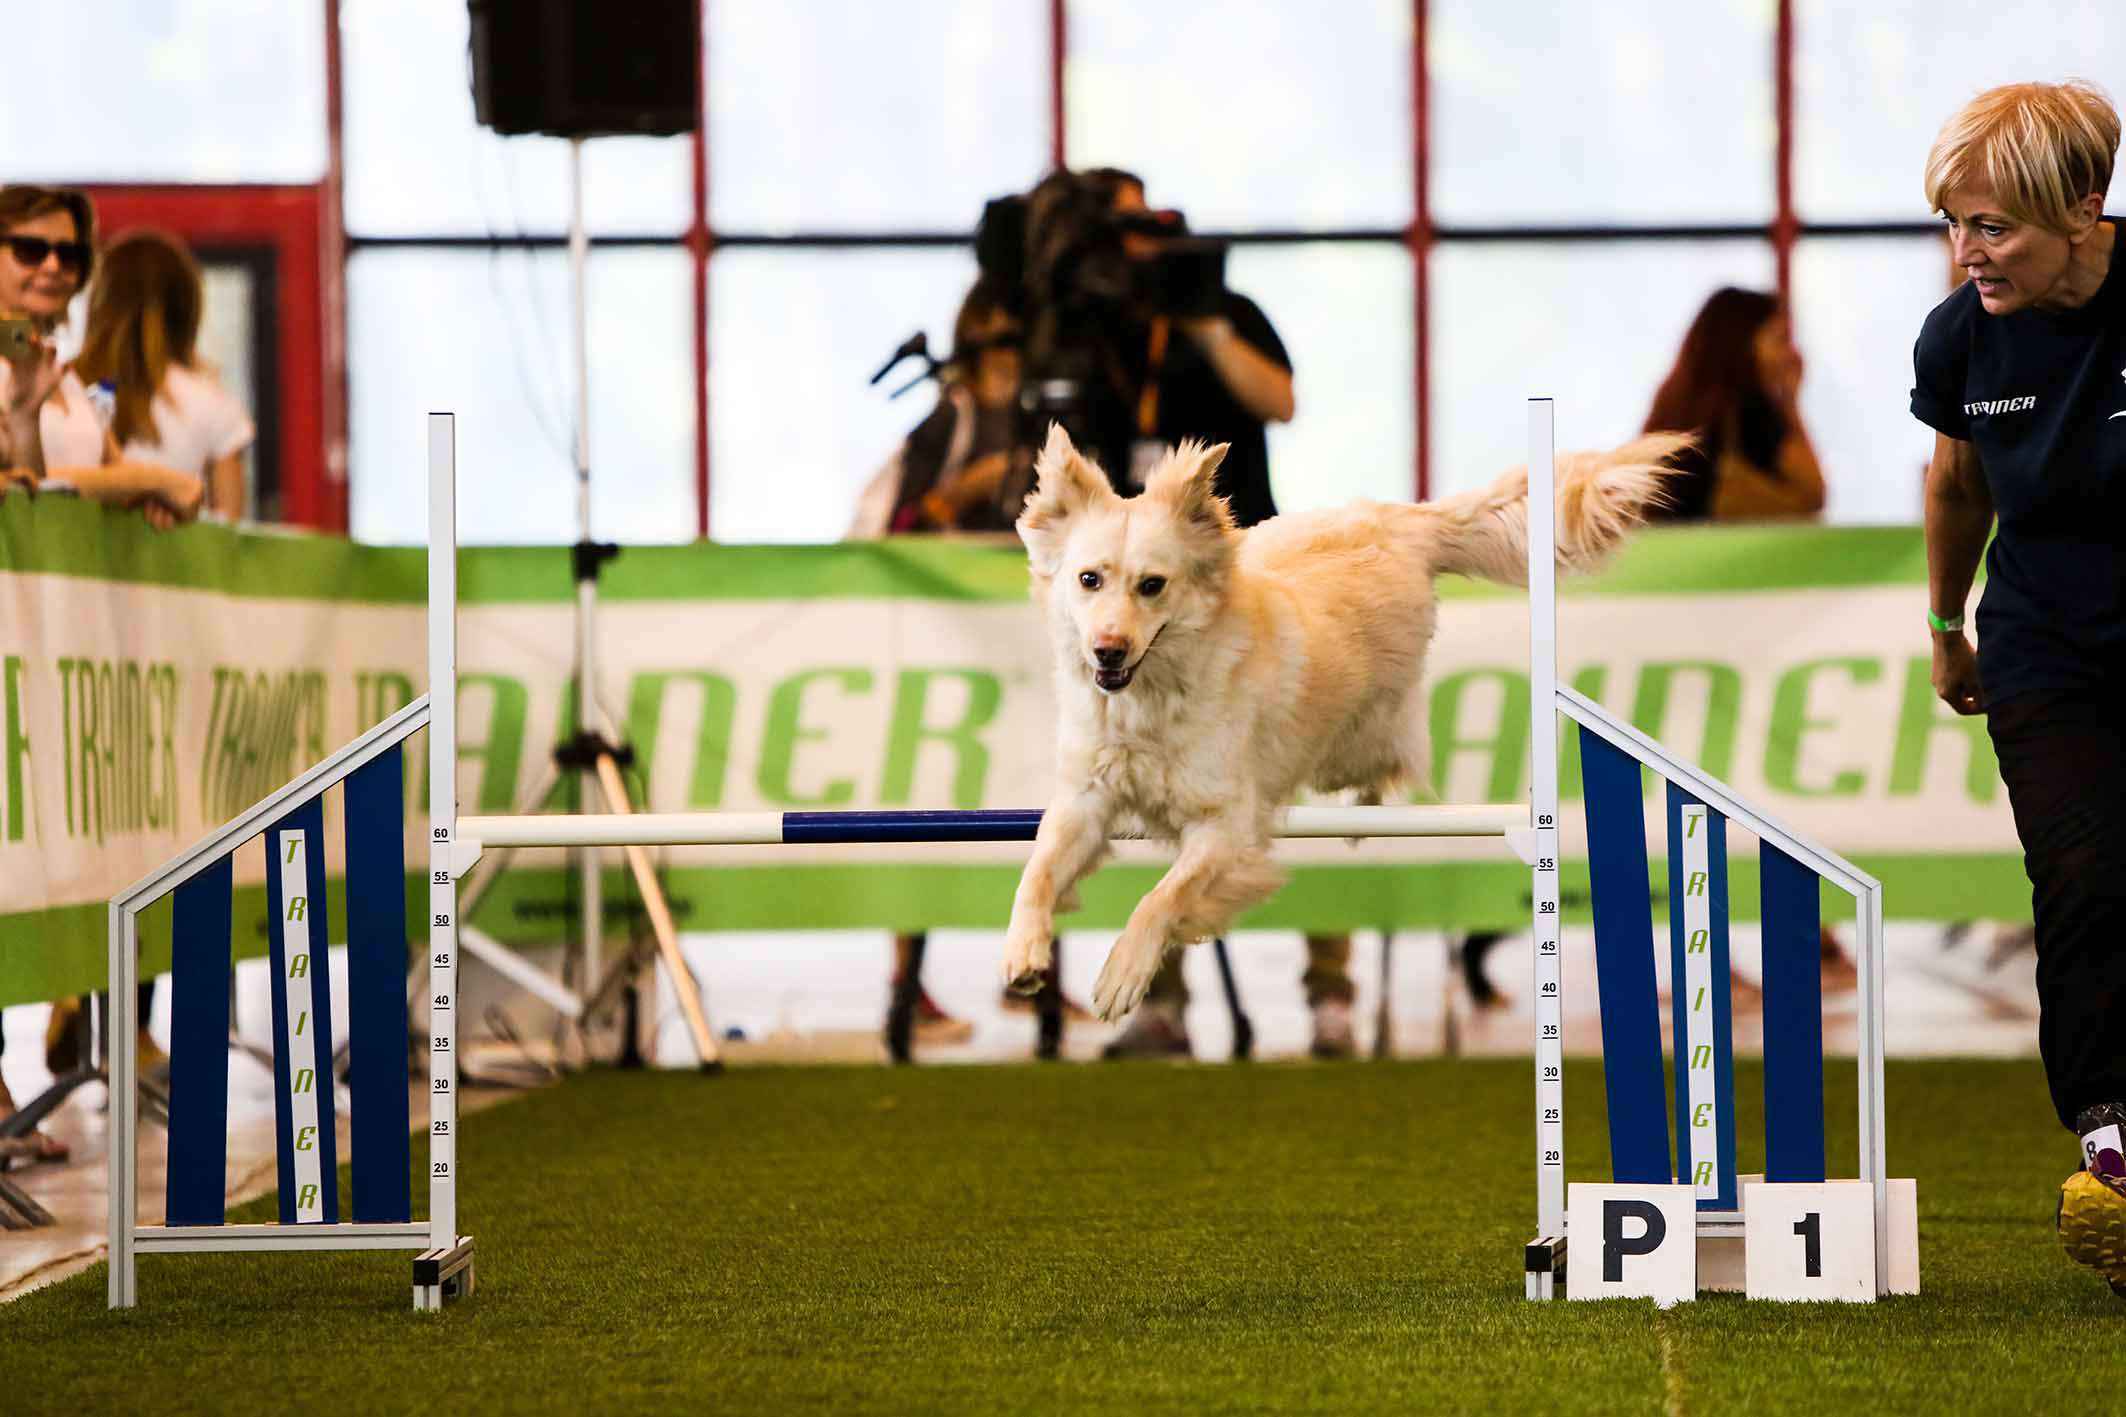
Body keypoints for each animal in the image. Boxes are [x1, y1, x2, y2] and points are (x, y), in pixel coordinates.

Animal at [1003, 420, 1683, 1019]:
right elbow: (1037, 871)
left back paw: (1365, 813)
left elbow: (1162, 897)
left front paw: (1124, 973)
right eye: (1089, 579)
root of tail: (1400, 516)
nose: (1108, 651)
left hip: (1356, 738)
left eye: (1152, 585)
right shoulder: (1085, 802)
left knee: (1393, 761)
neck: (1150, 702)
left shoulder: (1227, 829)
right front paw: (1024, 952)